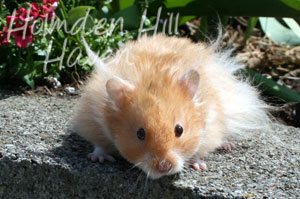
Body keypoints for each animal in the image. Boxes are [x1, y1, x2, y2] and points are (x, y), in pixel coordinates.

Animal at [71, 33, 270, 180]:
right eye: (140, 134)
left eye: (179, 130)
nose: (164, 167)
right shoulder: (93, 117)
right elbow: (99, 144)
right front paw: (99, 159)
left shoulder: (212, 125)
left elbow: (201, 149)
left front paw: (199, 166)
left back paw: (227, 145)